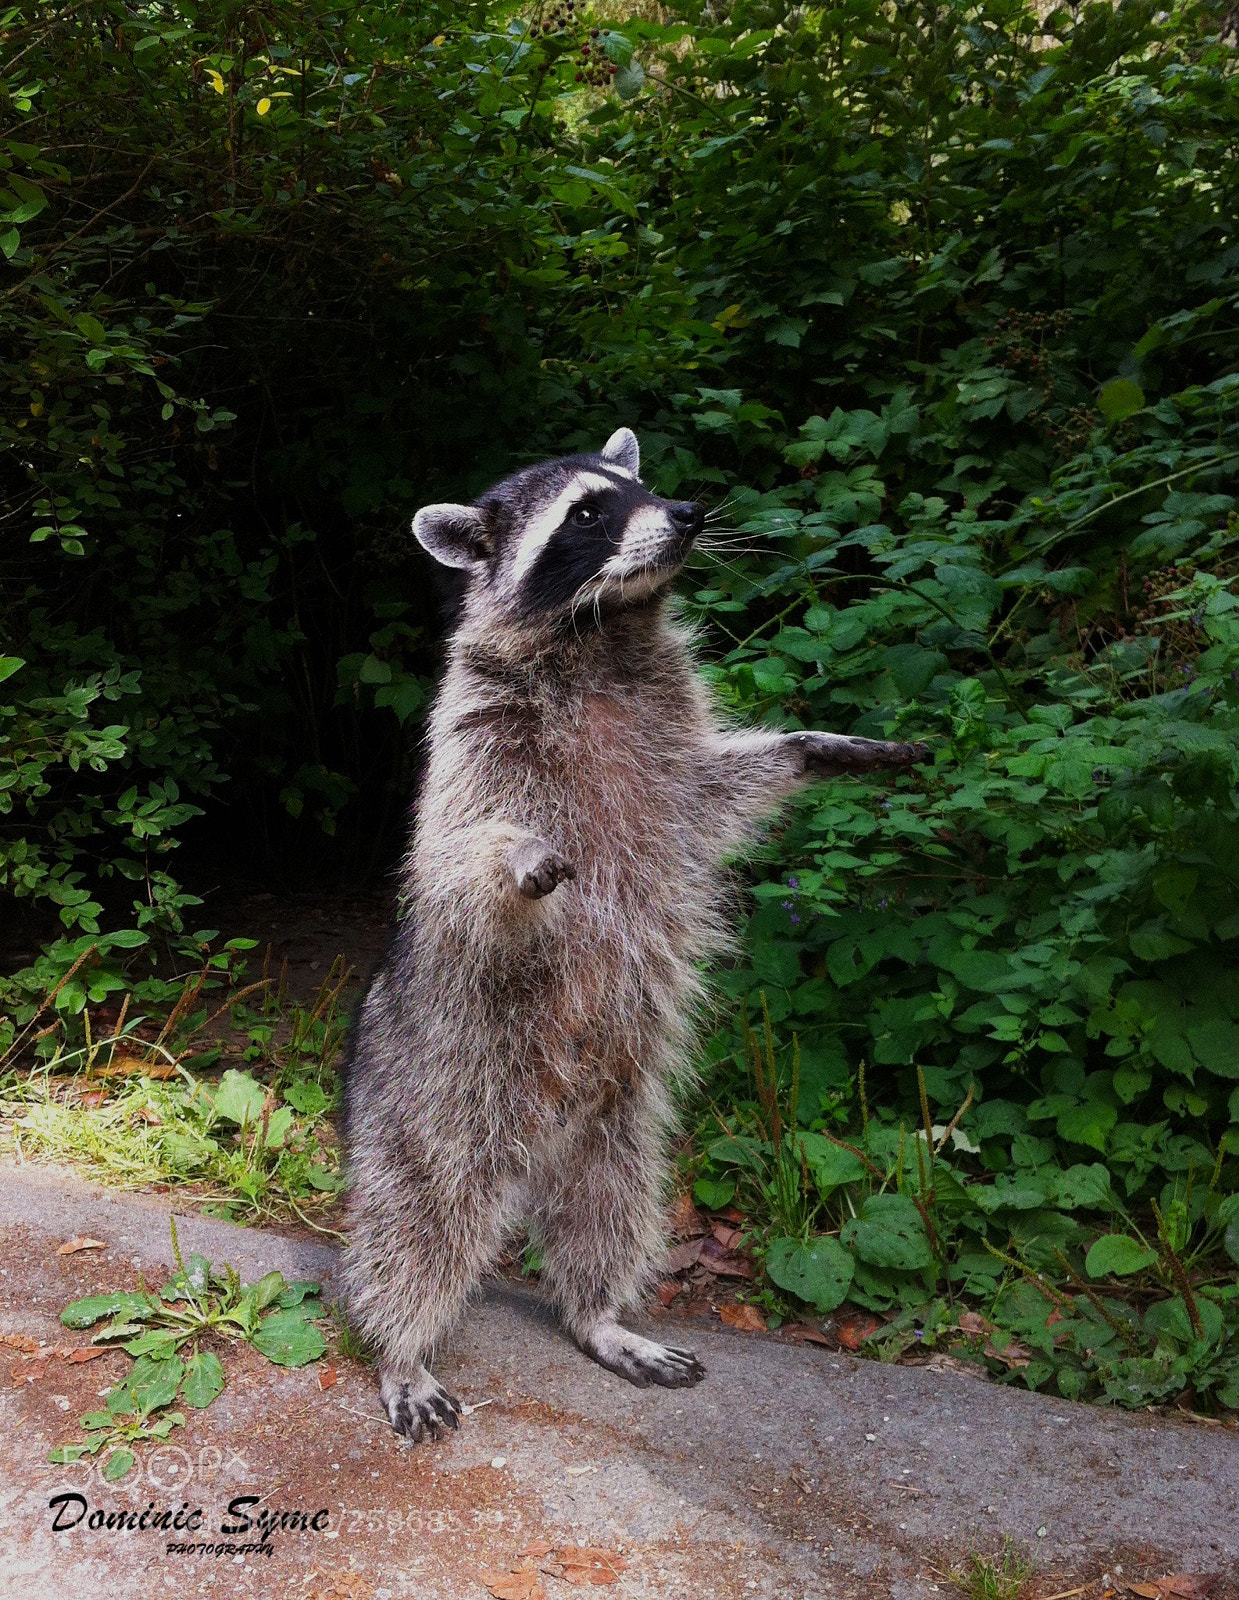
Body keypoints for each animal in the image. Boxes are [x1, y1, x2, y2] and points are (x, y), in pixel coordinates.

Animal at [341, 428, 923, 1442]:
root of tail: (537, 1138)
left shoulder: (675, 760)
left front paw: (813, 746)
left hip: (617, 1115)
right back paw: (401, 1346)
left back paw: (597, 1315)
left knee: (609, 1208)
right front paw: (515, 855)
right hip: (438, 1086)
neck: (603, 632)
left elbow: (724, 788)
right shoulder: (473, 735)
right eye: (586, 512)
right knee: (419, 1218)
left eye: (638, 485)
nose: (689, 513)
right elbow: (454, 856)